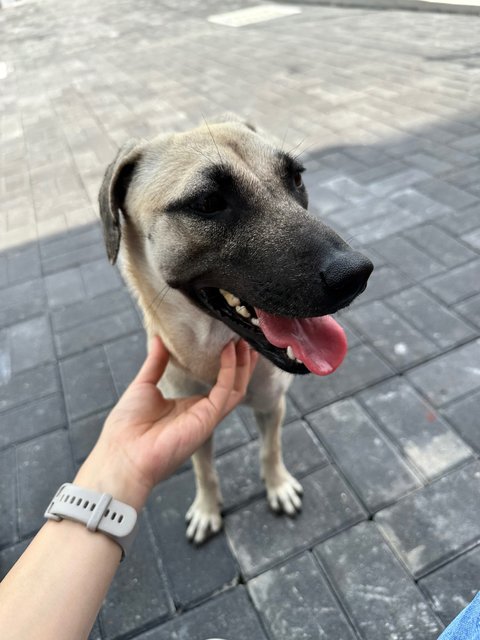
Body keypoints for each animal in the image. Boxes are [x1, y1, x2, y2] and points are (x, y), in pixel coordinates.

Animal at [98, 114, 376, 540]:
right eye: (208, 203)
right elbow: (205, 470)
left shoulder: (272, 404)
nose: (356, 275)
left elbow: (270, 449)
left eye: (295, 177)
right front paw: (207, 508)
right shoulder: (193, 424)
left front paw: (277, 485)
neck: (216, 353)